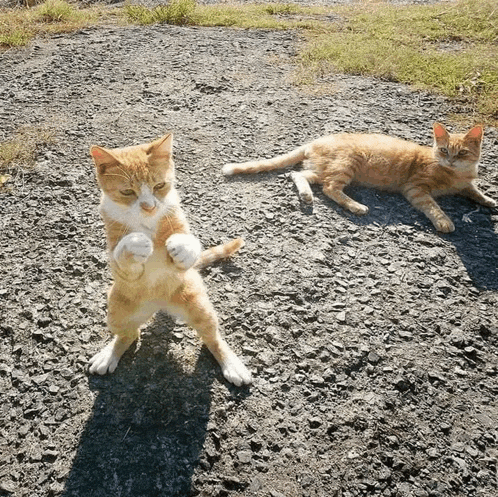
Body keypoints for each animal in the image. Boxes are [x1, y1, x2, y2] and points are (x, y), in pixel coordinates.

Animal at [89, 134, 251, 386]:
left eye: (159, 186)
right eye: (127, 192)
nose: (149, 206)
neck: (147, 223)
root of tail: (160, 305)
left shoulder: (178, 222)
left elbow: (190, 243)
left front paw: (184, 247)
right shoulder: (119, 263)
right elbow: (122, 258)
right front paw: (134, 243)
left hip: (198, 304)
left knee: (212, 337)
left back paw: (231, 364)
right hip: (116, 311)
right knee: (129, 333)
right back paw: (110, 354)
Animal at [223, 123, 494, 233]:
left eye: (462, 153)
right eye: (444, 150)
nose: (450, 160)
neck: (457, 174)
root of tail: (315, 141)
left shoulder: (466, 184)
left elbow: (475, 191)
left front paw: (489, 200)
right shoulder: (415, 189)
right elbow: (434, 206)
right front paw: (444, 221)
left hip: (321, 169)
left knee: (298, 174)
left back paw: (306, 195)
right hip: (346, 165)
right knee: (330, 188)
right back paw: (356, 206)